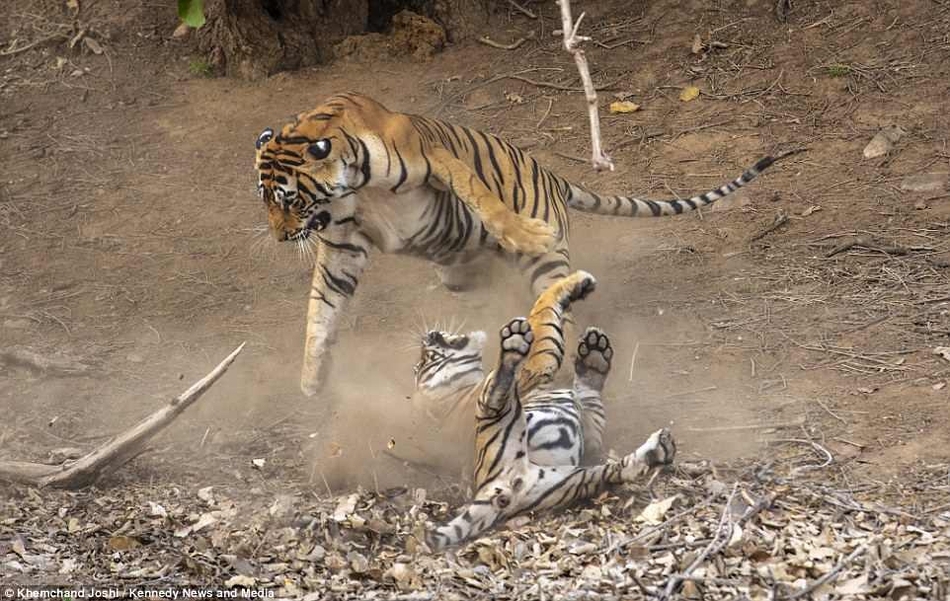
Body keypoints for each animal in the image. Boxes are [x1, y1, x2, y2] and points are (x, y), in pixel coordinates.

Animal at [255, 92, 804, 394]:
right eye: (266, 200)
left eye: (289, 199)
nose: (280, 238)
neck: (348, 185)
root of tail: (557, 179)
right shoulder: (342, 246)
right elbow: (321, 312)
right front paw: (311, 380)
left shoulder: (434, 159)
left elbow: (481, 196)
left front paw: (520, 227)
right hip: (459, 273)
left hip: (545, 265)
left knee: (559, 308)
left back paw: (544, 351)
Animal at [416, 270, 676, 548]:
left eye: (424, 359)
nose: (429, 336)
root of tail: (494, 490)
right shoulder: (539, 362)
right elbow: (543, 308)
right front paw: (578, 283)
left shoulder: (588, 432)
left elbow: (590, 397)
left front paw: (594, 356)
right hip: (501, 417)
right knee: (498, 386)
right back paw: (513, 342)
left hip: (573, 478)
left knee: (619, 470)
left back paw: (659, 449)